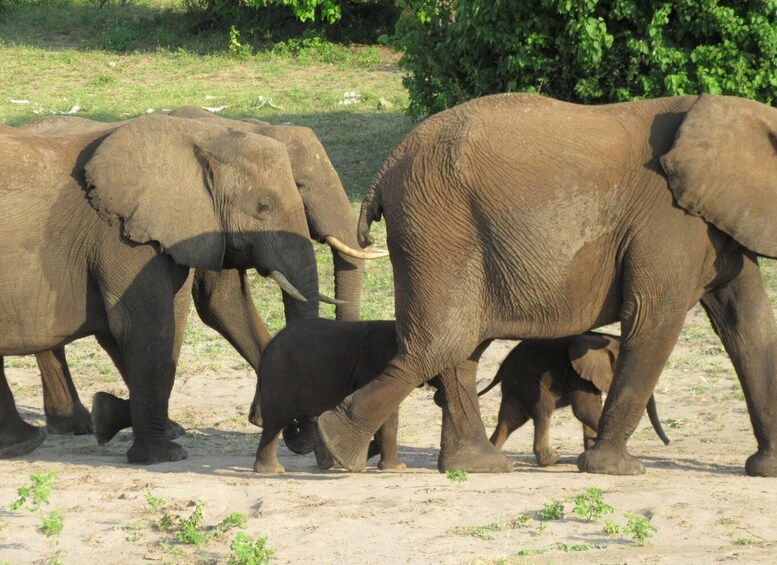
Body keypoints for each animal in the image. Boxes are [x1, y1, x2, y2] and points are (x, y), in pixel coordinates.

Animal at [253, 320, 406, 474]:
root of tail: (268, 348)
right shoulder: (370, 369)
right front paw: (396, 468)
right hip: (280, 376)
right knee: (276, 421)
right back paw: (272, 470)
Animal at [478, 332, 668, 464]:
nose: (668, 443)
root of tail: (501, 368)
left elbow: (589, 410)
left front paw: (591, 452)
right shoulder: (578, 375)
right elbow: (584, 409)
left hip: (516, 384)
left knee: (509, 420)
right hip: (526, 379)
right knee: (543, 409)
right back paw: (551, 459)